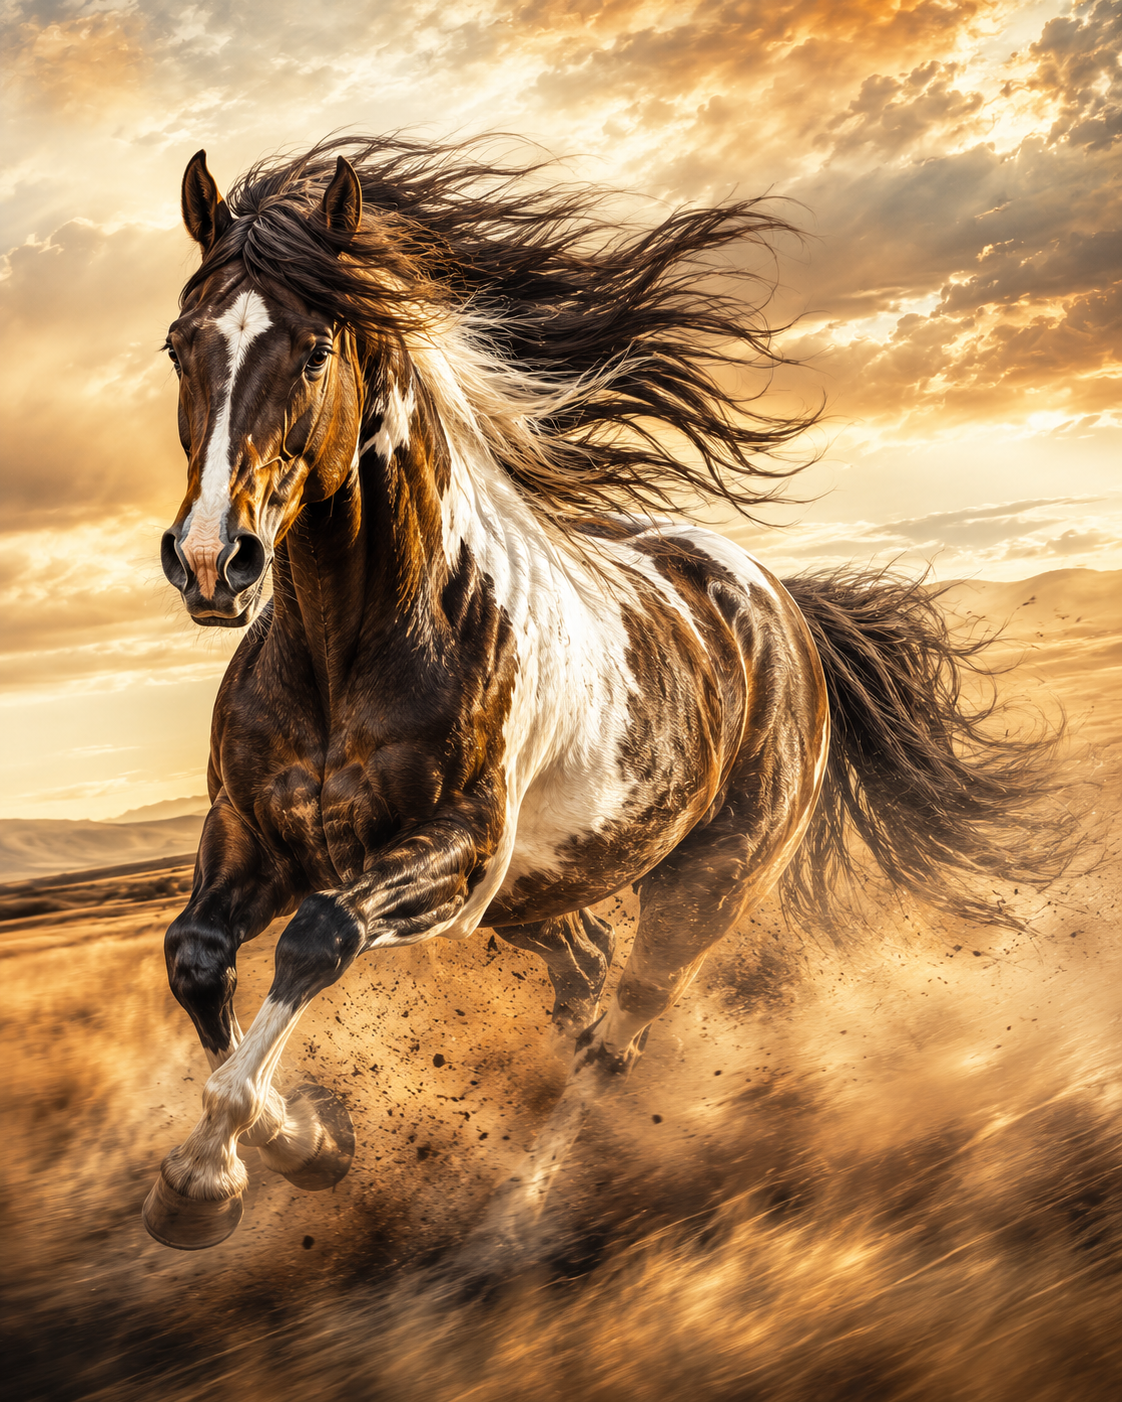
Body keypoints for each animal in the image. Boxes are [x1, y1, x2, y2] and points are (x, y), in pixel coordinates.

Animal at [142, 137, 1071, 1257]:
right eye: (179, 344)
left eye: (317, 349)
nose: (210, 560)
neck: (344, 655)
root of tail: (780, 607)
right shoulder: (251, 834)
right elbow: (196, 955)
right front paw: (301, 1146)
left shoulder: (458, 855)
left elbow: (318, 938)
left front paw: (207, 1174)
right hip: (545, 896)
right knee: (583, 984)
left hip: (700, 890)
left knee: (617, 1030)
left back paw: (513, 1221)